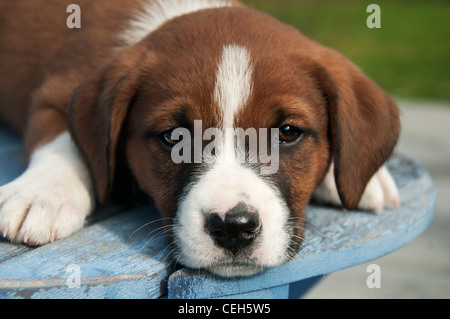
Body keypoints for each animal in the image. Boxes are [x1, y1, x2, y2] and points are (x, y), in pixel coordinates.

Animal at [0, 0, 400, 278]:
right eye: (173, 137)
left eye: (288, 133)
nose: (234, 228)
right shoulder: (53, 96)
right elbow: (63, 140)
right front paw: (43, 193)